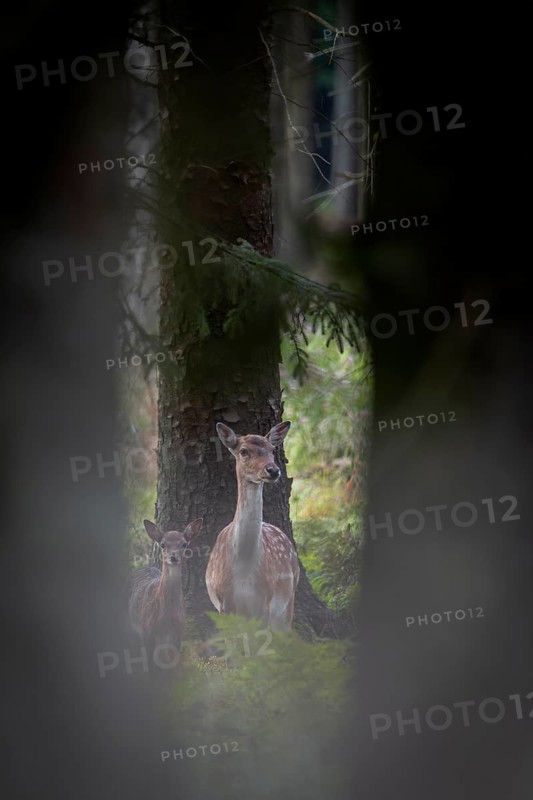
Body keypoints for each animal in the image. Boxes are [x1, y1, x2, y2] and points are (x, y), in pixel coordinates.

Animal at [206, 421, 300, 631]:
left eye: (272, 449)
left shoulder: (265, 601)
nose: (273, 470)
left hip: (288, 600)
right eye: (243, 451)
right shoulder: (224, 603)